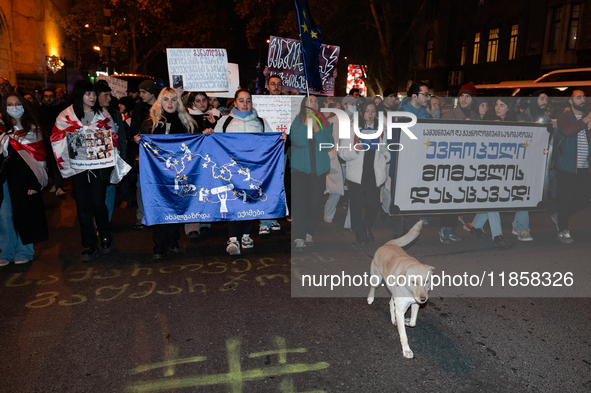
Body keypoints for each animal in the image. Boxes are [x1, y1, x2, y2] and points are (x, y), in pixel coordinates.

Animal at [370, 220, 434, 358]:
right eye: (413, 282)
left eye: (426, 281)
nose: (423, 299)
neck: (409, 292)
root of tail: (389, 244)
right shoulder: (401, 309)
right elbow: (403, 335)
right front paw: (406, 350)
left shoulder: (415, 304)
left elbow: (413, 322)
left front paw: (406, 322)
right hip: (376, 278)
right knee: (373, 287)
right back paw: (370, 298)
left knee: (390, 303)